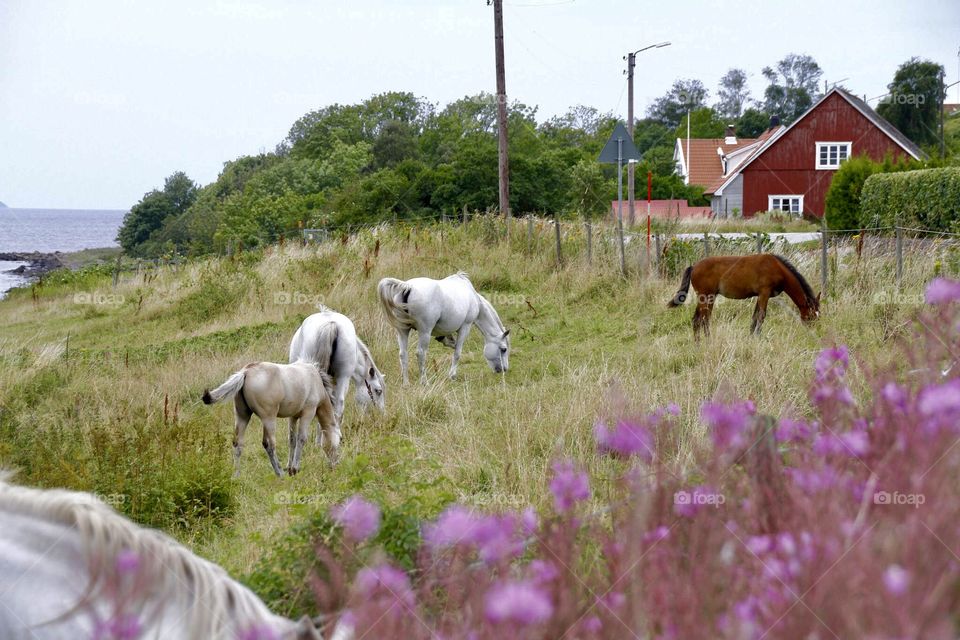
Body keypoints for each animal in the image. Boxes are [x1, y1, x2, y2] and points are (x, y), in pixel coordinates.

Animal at [202, 361, 338, 477]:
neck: (316, 381)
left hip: (243, 416)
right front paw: (295, 469)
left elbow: (292, 440)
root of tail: (246, 371)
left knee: (238, 443)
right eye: (340, 440)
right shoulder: (308, 413)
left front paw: (289, 468)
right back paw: (279, 472)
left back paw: (236, 475)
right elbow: (301, 439)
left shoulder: (293, 417)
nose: (335, 465)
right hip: (269, 419)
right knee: (270, 444)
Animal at [377, 272, 510, 384]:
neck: (474, 298)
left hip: (402, 331)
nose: (504, 369)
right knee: (420, 353)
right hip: (424, 332)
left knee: (403, 354)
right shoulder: (465, 327)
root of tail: (408, 286)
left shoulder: (443, 333)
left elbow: (451, 343)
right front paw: (452, 375)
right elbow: (457, 352)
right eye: (503, 349)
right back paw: (424, 382)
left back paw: (406, 383)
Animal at [667, 254, 820, 338]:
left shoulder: (760, 295)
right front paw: (757, 337)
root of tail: (694, 266)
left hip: (706, 298)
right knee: (704, 319)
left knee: (697, 320)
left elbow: (755, 316)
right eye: (811, 316)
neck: (777, 268)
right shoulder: (764, 292)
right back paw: (708, 340)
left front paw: (751, 336)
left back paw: (698, 343)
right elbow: (761, 315)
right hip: (707, 297)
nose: (813, 332)